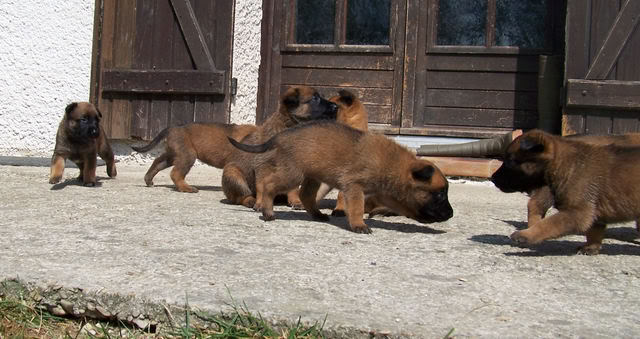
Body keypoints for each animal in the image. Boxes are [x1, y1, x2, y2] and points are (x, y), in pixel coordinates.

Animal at [228, 121, 452, 235]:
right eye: (440, 194)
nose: (451, 214)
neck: (392, 164)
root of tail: (281, 136)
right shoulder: (354, 187)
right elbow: (357, 208)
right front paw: (358, 225)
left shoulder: (386, 194)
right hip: (293, 173)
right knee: (268, 184)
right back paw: (267, 211)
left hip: (311, 175)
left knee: (306, 195)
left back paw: (317, 214)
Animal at [492, 130, 640, 255]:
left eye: (510, 161)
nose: (493, 178)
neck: (565, 164)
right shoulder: (588, 211)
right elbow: (594, 231)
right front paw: (590, 248)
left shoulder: (578, 212)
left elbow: (549, 224)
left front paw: (525, 235)